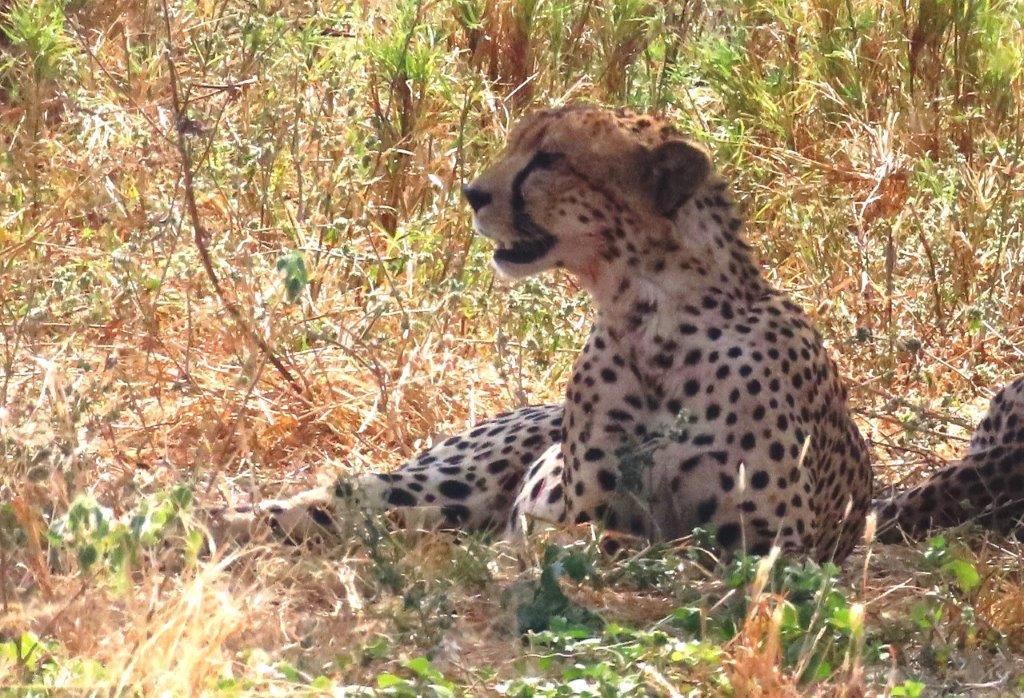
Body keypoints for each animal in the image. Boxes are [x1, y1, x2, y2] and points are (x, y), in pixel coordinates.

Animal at [212, 105, 1024, 563]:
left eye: (549, 158)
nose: (472, 193)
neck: (649, 317)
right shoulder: (583, 505)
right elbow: (601, 534)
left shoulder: (773, 547)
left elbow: (676, 546)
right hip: (440, 489)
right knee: (327, 502)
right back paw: (194, 523)